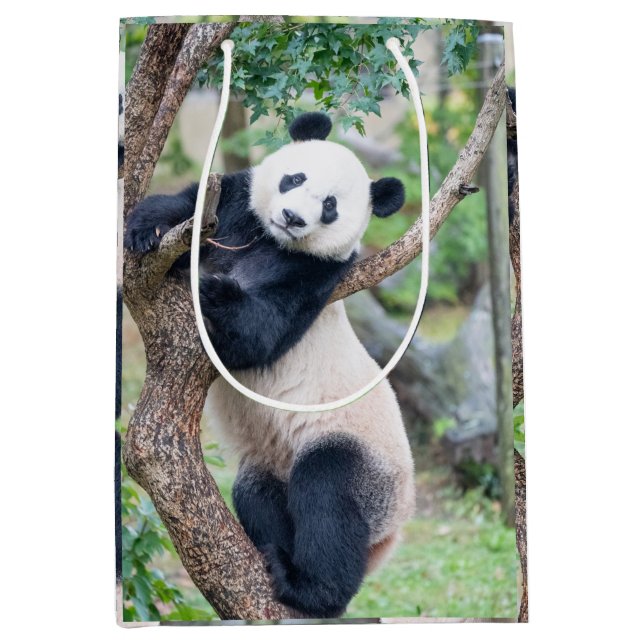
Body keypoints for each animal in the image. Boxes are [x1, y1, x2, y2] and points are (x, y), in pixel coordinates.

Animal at [125, 112, 415, 618]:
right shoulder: (236, 209)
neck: (274, 242)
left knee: (328, 493)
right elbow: (187, 205)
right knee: (256, 492)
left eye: (330, 206)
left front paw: (213, 290)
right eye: (294, 178)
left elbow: (258, 333)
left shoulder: (317, 276)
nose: (293, 217)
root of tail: (390, 536)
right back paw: (275, 551)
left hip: (368, 464)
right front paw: (149, 230)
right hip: (270, 463)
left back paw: (308, 588)